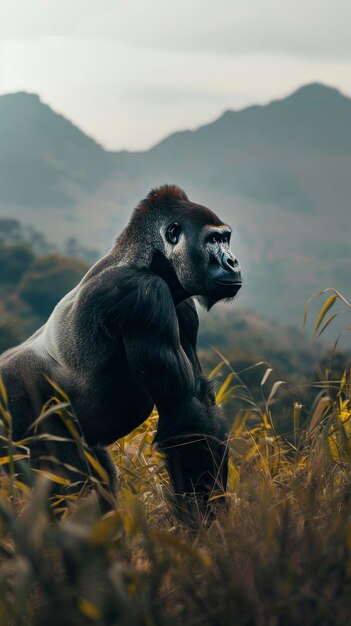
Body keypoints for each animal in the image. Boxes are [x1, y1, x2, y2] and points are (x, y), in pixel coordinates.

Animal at [0, 185, 242, 516]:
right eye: (213, 240)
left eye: (226, 238)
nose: (232, 262)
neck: (146, 258)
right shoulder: (143, 294)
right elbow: (186, 416)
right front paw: (204, 519)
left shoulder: (184, 308)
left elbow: (199, 404)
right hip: (14, 405)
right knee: (71, 486)